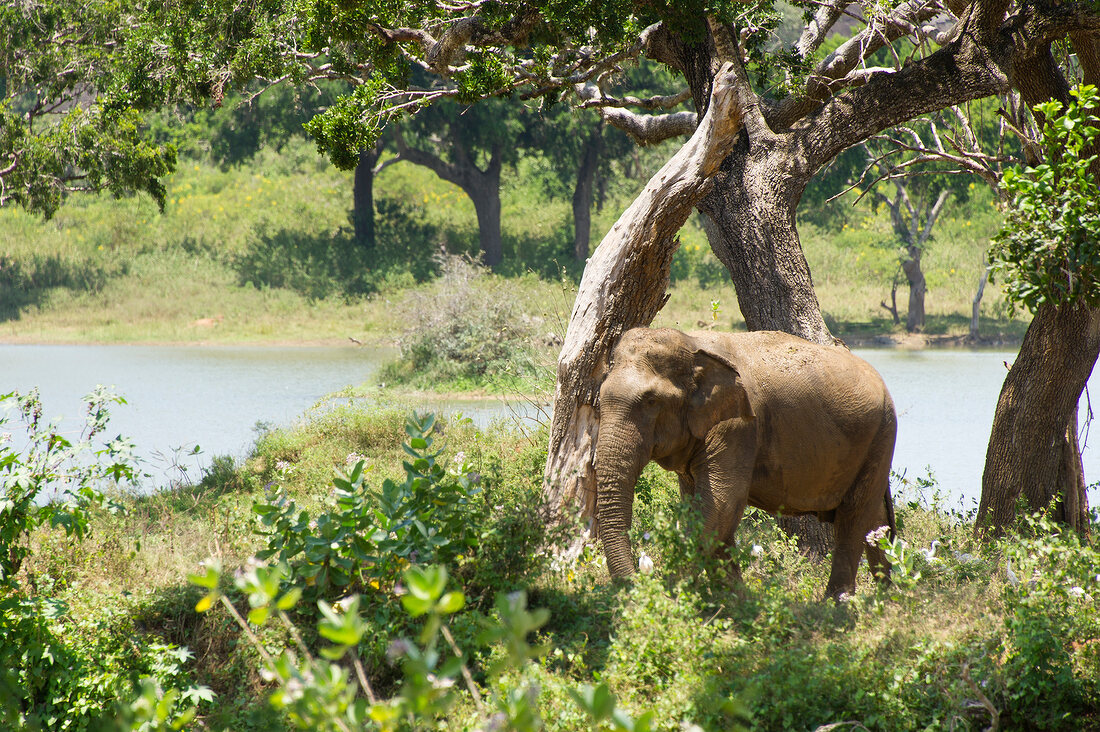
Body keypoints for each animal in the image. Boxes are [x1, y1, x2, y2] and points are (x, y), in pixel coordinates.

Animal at [598, 328, 897, 598]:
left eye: (651, 400)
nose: (639, 581)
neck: (692, 343)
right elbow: (705, 509)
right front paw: (734, 601)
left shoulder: (738, 428)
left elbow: (721, 504)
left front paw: (670, 596)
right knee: (875, 522)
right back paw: (885, 600)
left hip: (881, 436)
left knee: (853, 517)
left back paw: (837, 606)